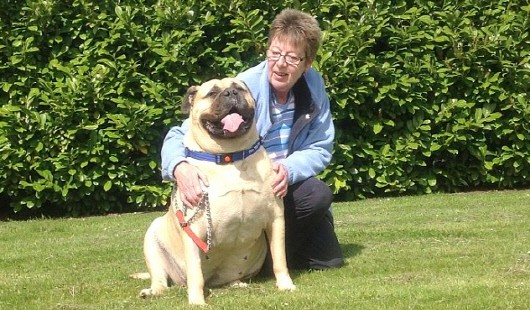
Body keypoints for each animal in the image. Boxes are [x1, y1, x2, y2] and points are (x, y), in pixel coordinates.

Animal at [138, 77, 294, 306]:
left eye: (239, 88)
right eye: (212, 93)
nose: (230, 93)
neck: (230, 156)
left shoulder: (275, 218)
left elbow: (280, 259)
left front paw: (286, 285)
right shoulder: (193, 228)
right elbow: (195, 273)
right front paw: (196, 301)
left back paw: (238, 284)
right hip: (152, 239)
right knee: (160, 279)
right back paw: (152, 291)